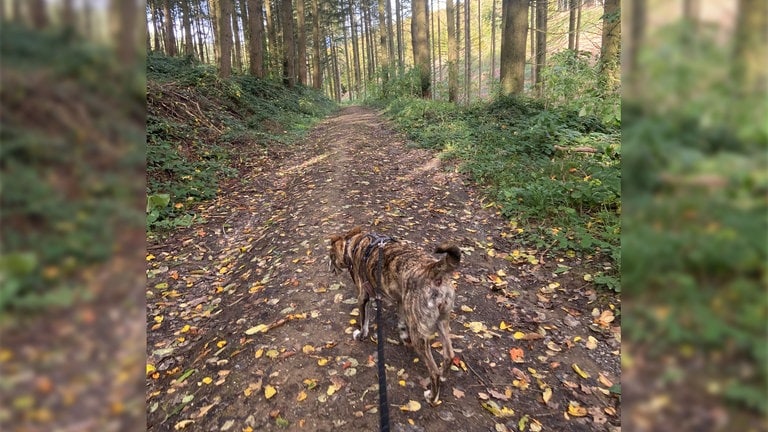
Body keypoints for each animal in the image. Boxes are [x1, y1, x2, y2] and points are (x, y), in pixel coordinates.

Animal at [326, 226, 460, 404]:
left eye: (331, 255)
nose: (328, 267)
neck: (354, 244)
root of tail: (433, 269)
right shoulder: (399, 301)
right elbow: (400, 321)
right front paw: (403, 336)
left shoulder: (363, 296)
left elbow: (363, 322)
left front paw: (361, 335)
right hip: (442, 321)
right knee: (449, 355)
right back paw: (444, 376)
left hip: (419, 334)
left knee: (433, 371)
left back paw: (432, 396)